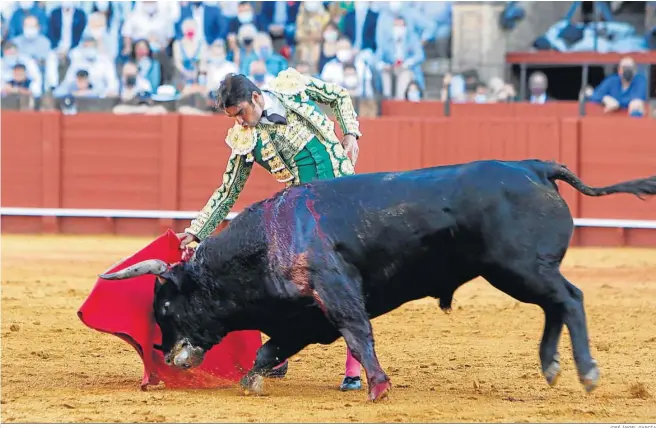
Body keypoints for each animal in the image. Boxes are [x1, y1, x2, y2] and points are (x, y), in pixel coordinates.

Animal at [98, 158, 656, 402]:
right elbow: (270, 348)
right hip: (519, 271)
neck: (267, 241)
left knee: (571, 298)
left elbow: (358, 332)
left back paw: (585, 371)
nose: (165, 353)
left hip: (520, 268)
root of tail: (533, 167)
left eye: (165, 308)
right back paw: (551, 366)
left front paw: (379, 387)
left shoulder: (335, 290)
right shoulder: (304, 318)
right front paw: (252, 380)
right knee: (554, 305)